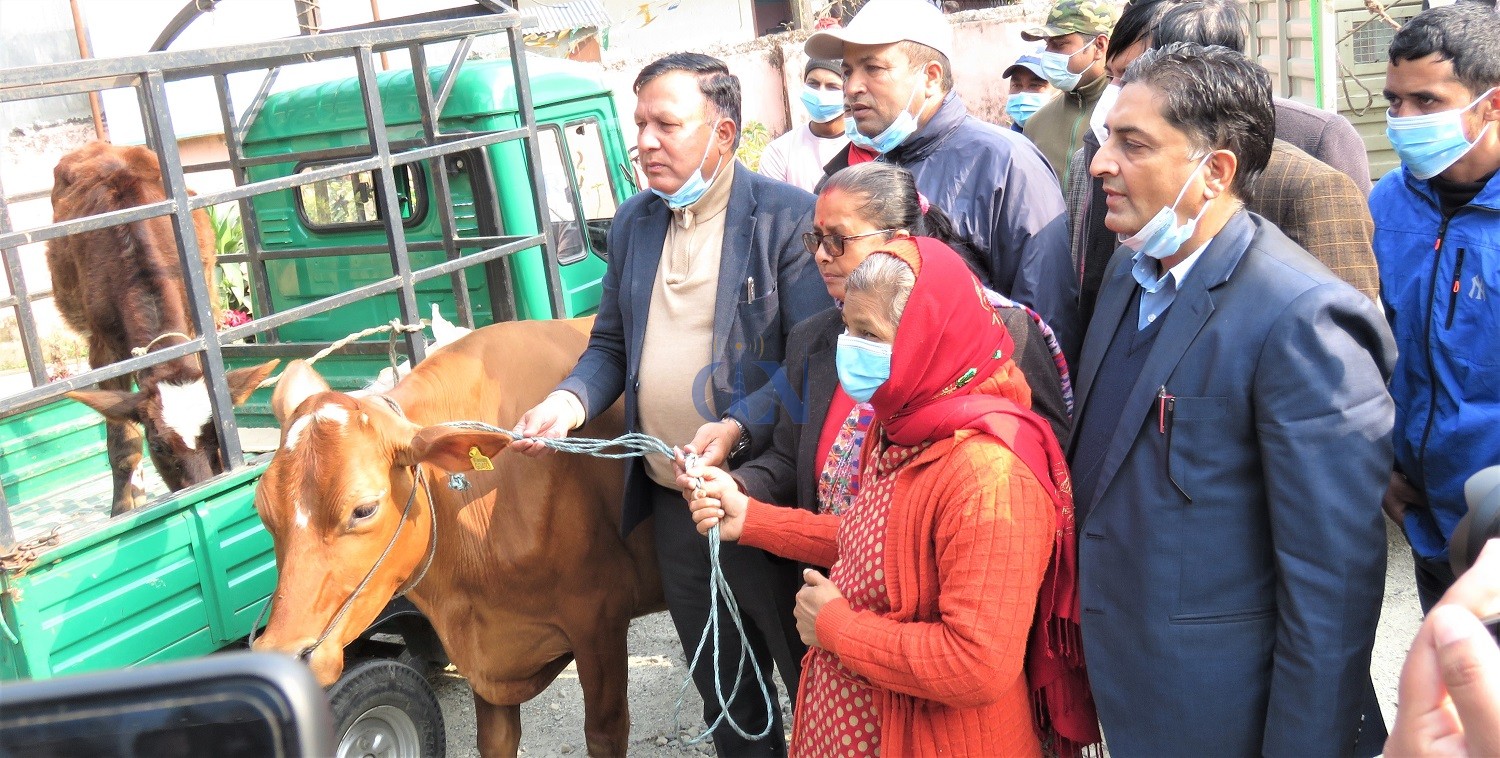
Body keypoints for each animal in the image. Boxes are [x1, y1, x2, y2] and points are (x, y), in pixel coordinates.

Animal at [46, 141, 279, 513]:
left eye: (218, 435)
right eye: (158, 447)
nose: (204, 490)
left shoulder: (197, 327)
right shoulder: (104, 349)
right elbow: (123, 445)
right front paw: (121, 510)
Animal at [255, 316, 666, 753]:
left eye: (363, 509)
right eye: (261, 508)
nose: (280, 653)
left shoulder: (599, 619)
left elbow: (605, 733)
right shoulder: (483, 657)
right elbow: (496, 739)